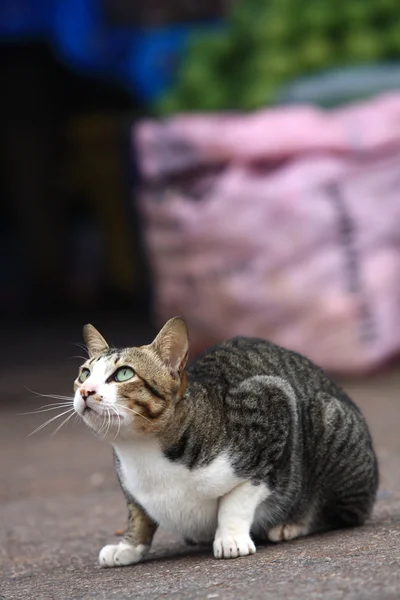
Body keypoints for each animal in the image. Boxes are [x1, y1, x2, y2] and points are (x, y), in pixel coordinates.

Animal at [72, 316, 378, 564]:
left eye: (123, 373)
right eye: (84, 374)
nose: (86, 391)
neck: (142, 449)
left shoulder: (272, 403)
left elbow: (239, 497)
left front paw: (230, 537)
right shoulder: (131, 488)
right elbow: (139, 513)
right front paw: (128, 546)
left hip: (329, 423)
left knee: (343, 513)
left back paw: (292, 524)